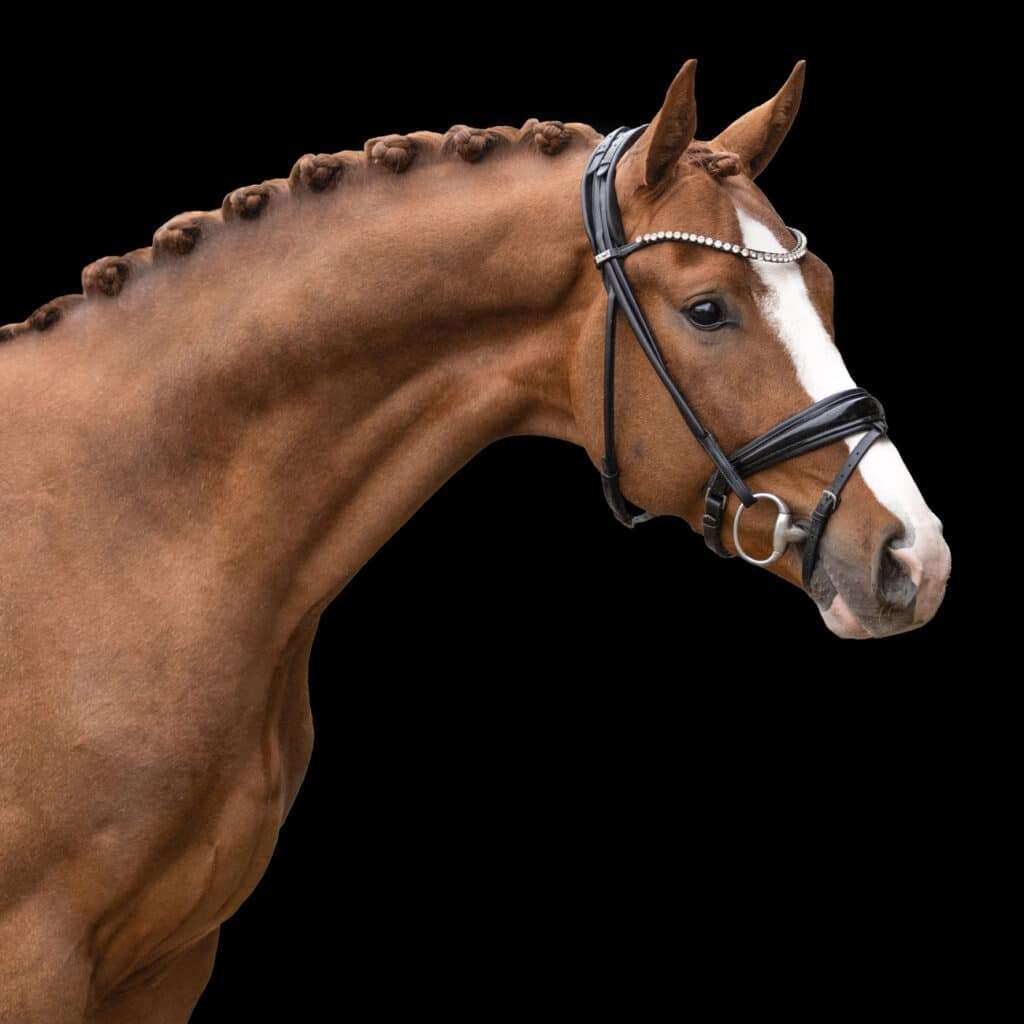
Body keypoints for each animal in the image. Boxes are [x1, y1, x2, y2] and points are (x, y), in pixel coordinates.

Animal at [0, 59, 950, 1021]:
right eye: (707, 309)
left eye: (824, 288)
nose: (915, 558)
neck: (136, 527)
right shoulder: (35, 962)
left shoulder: (167, 967)